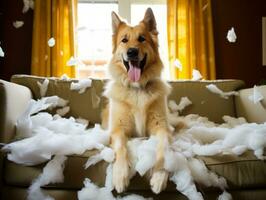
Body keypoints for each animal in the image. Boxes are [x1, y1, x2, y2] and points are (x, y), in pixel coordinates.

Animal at [102, 7, 172, 194]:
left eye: (142, 39)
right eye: (124, 40)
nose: (131, 52)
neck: (137, 89)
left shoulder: (161, 128)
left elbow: (163, 148)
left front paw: (159, 175)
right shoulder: (118, 130)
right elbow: (121, 147)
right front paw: (120, 175)